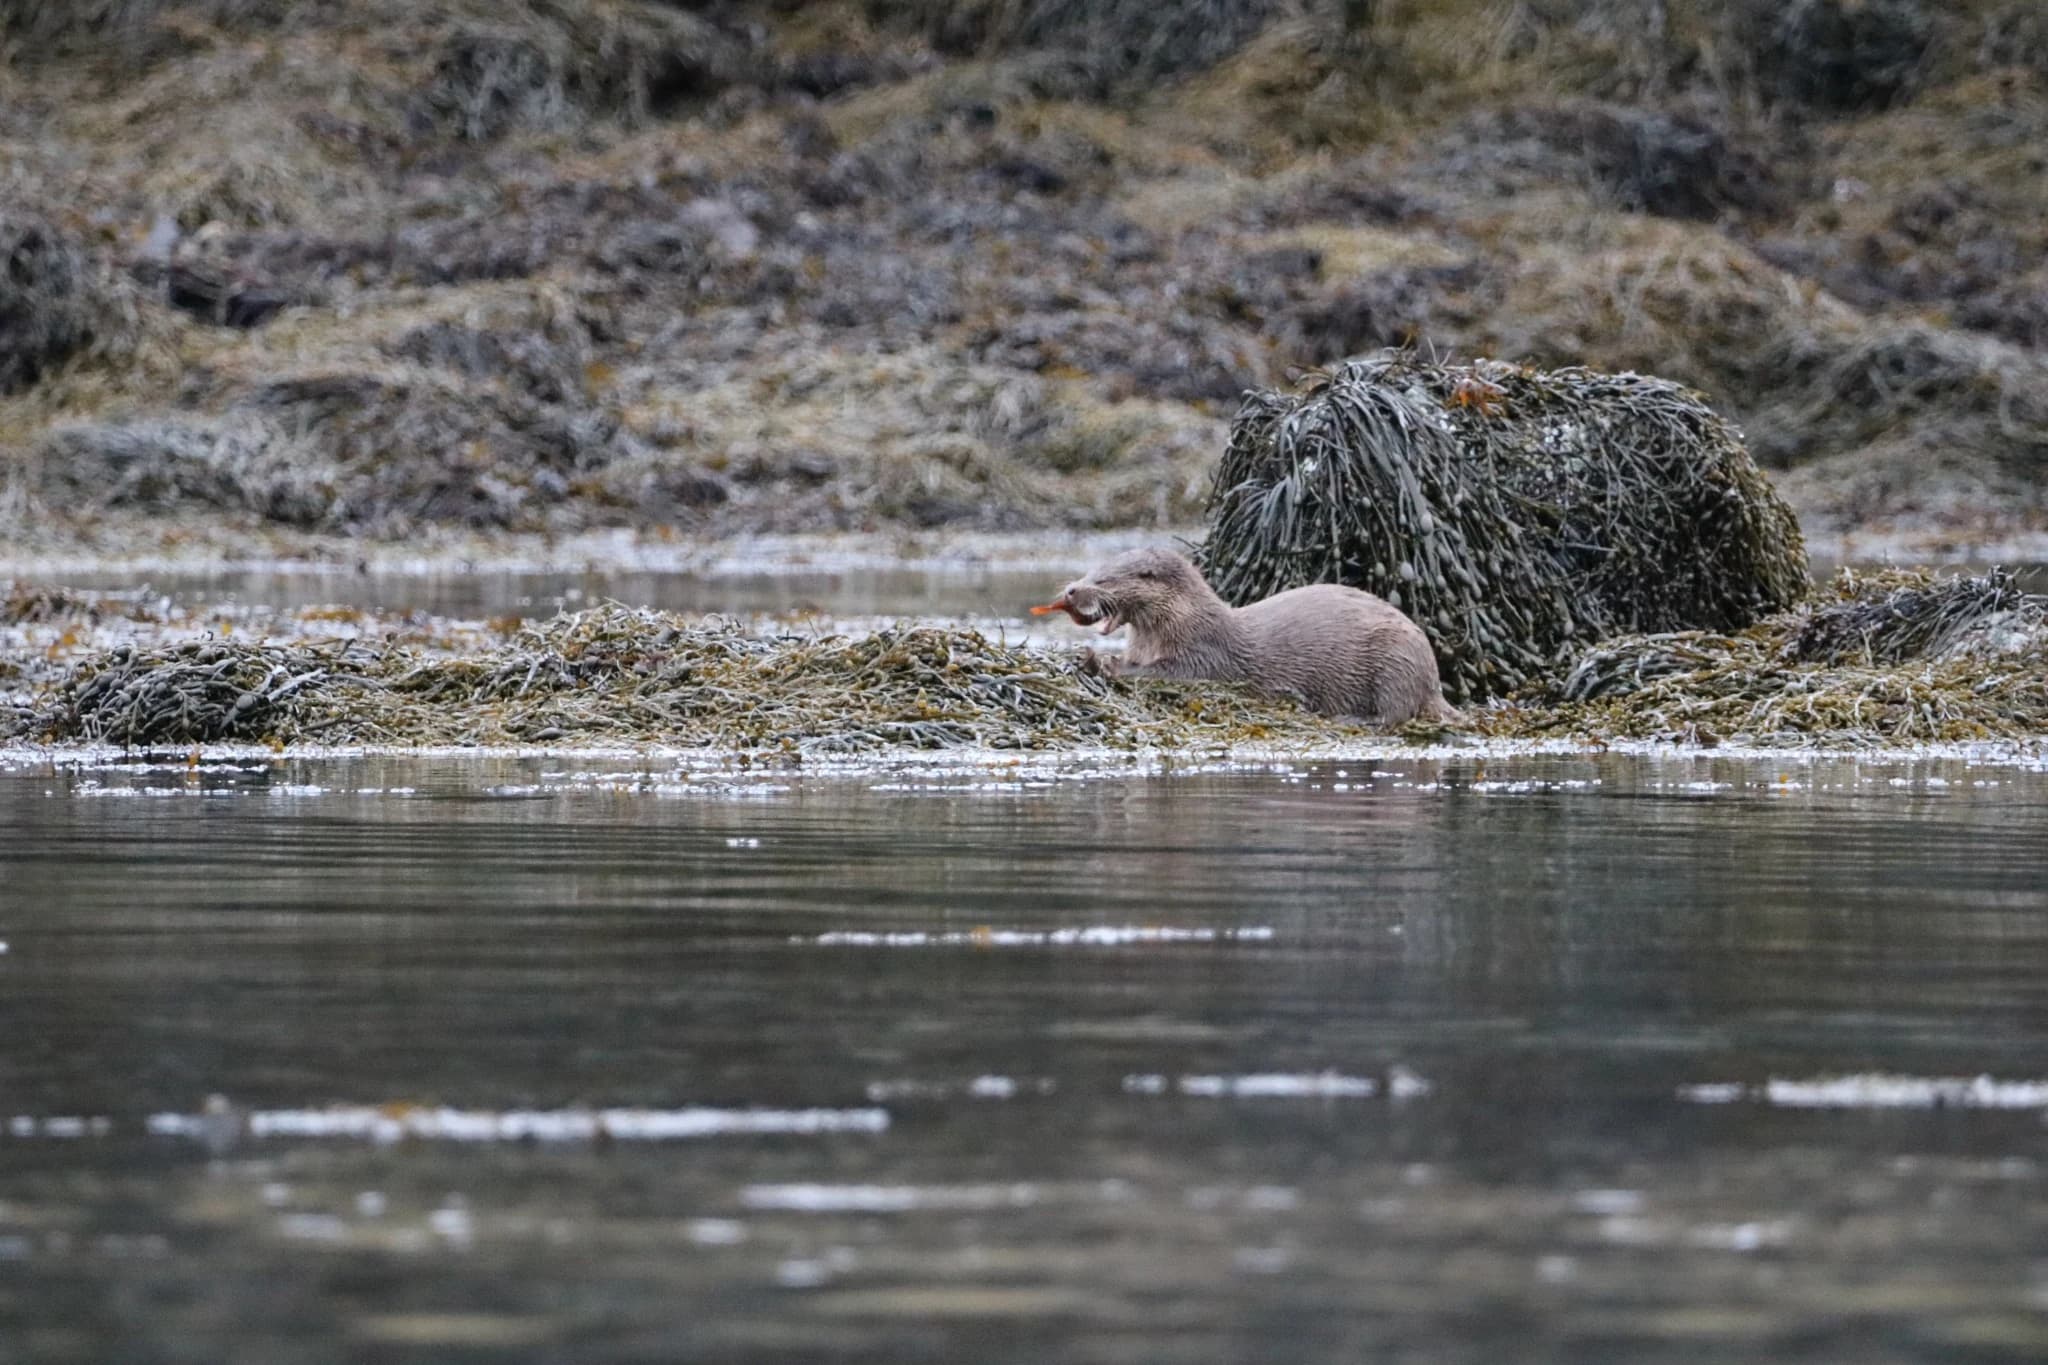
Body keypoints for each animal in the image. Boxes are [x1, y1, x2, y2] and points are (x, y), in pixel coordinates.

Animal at [1033, 547, 1457, 725]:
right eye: (1089, 571)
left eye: (1104, 580)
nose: (1071, 589)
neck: (1183, 622)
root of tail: (1433, 679)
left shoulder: (1203, 655)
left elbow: (1160, 674)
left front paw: (1099, 661)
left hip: (1396, 657)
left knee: (1397, 710)